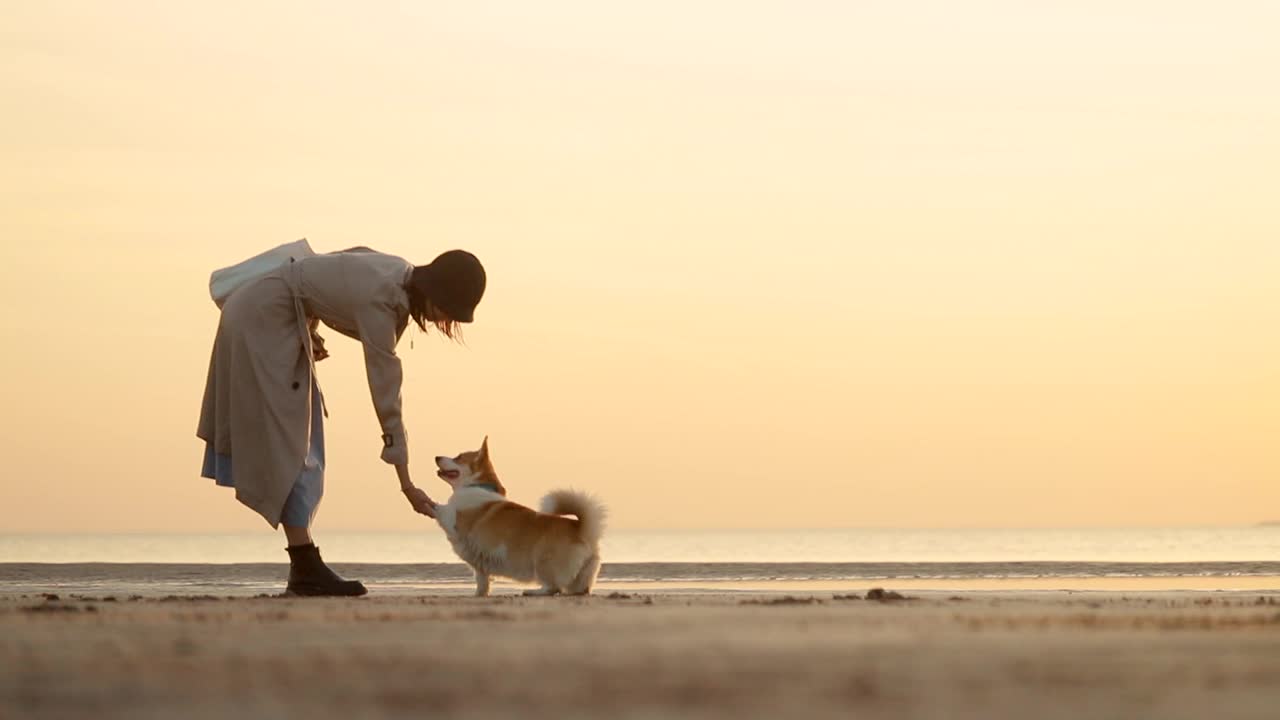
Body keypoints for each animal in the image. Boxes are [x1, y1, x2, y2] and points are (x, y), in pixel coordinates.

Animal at [432, 438, 606, 594]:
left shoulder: (452, 519)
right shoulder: (480, 568)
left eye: (459, 457)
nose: (436, 457)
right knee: (577, 590)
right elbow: (482, 582)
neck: (477, 485)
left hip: (542, 563)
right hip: (579, 578)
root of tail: (581, 529)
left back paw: (533, 592)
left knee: (553, 588)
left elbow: (439, 508)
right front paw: (480, 594)